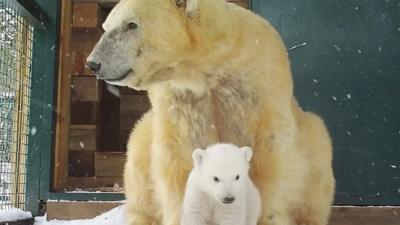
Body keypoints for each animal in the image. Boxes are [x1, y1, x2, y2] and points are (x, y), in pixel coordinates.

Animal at [86, 0, 334, 224]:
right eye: (106, 26)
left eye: (131, 24)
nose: (93, 64)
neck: (210, 67)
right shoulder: (181, 99)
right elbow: (180, 159)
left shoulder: (260, 85)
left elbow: (269, 158)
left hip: (314, 143)